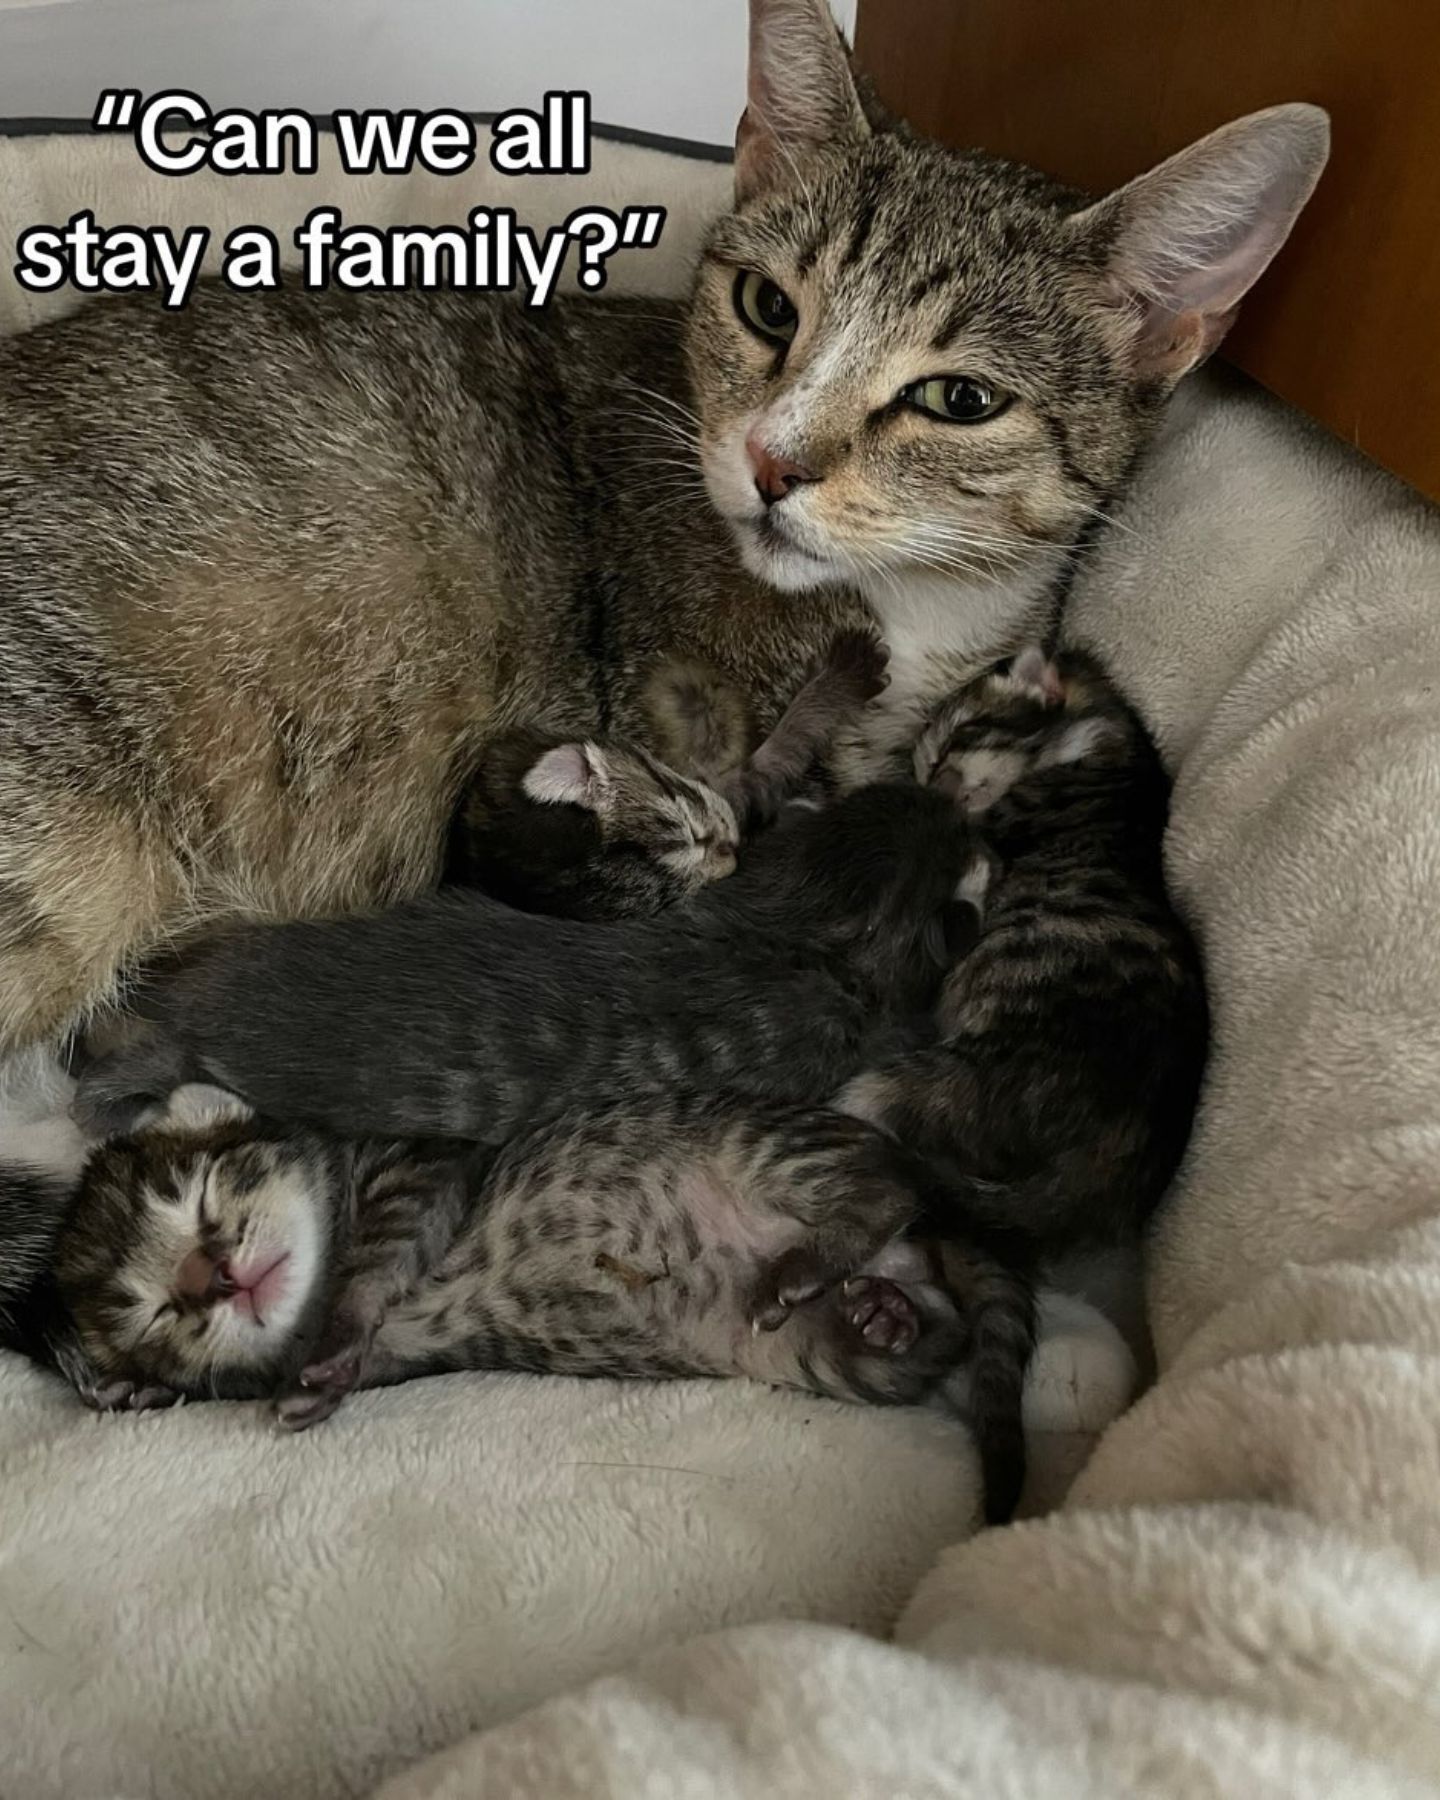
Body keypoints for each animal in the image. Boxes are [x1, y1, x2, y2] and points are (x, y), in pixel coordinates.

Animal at [42, 1087, 1036, 1526]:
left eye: (202, 1196)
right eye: (152, 1312)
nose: (212, 1277)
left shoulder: (422, 1166)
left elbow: (375, 1261)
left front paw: (338, 1327)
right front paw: (131, 1390)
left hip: (772, 1147)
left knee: (885, 1191)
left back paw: (811, 1258)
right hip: (811, 1352)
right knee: (926, 1338)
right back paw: (883, 1315)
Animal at [444, 630, 889, 914]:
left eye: (691, 829)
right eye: (672, 898)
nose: (732, 852)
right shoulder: (740, 787)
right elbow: (784, 745)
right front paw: (845, 672)